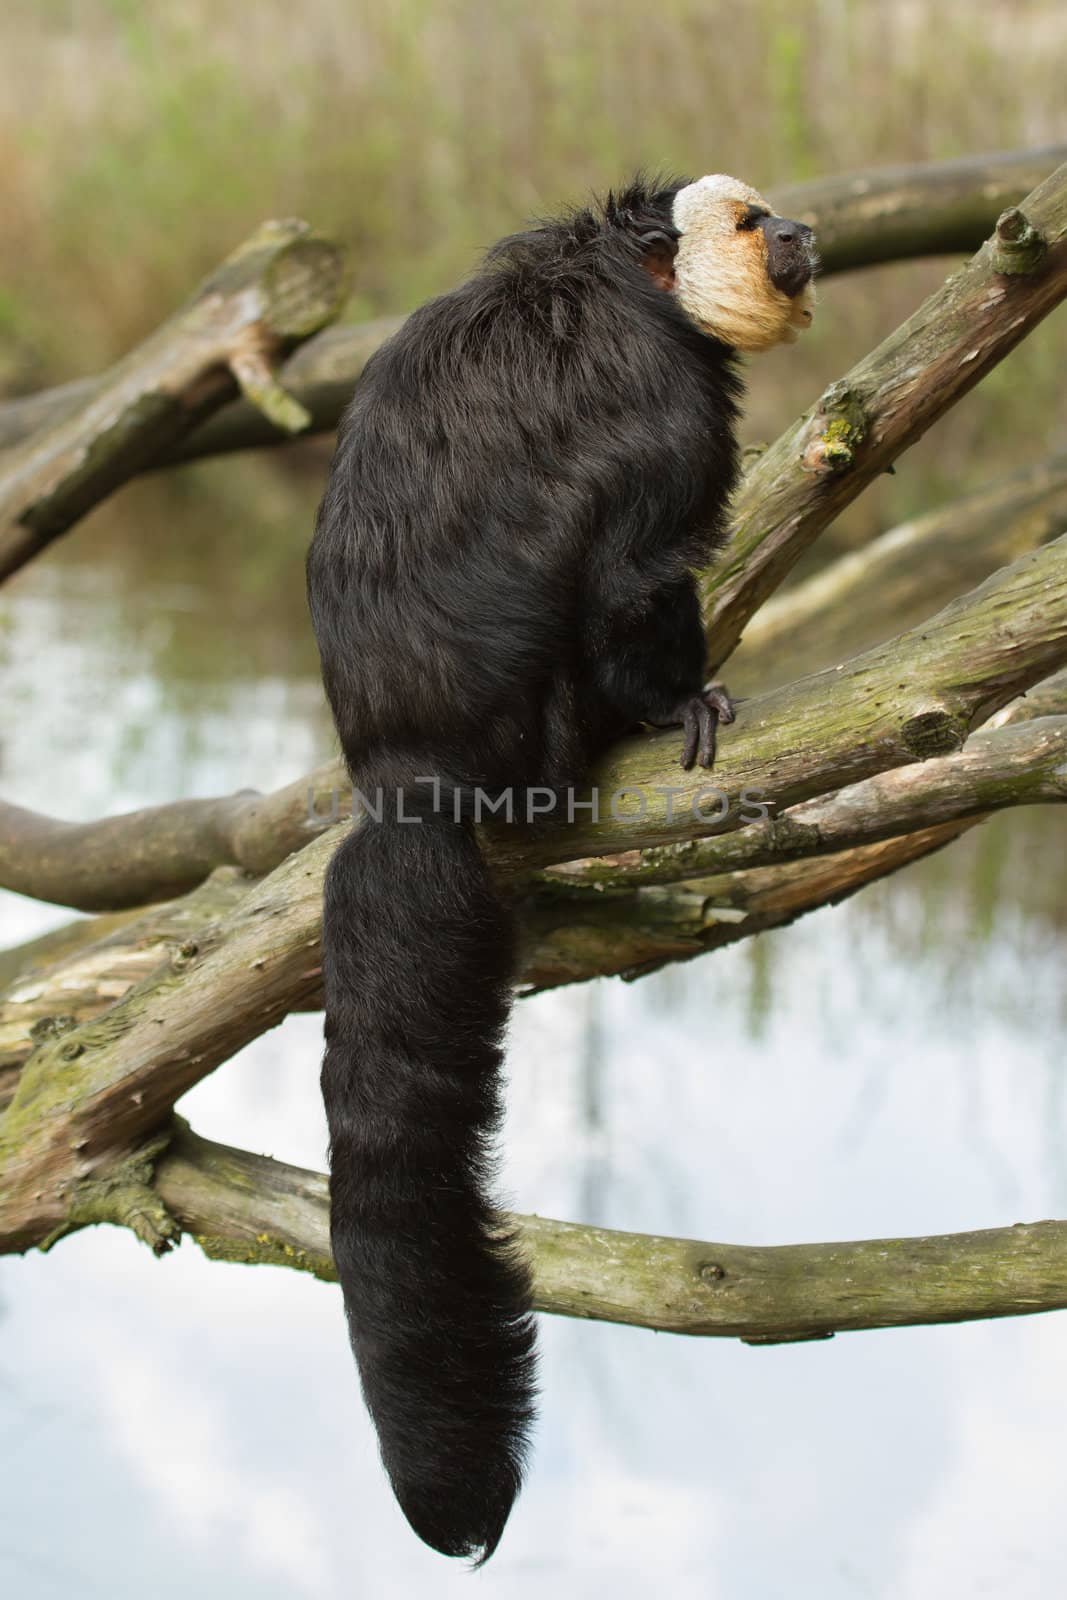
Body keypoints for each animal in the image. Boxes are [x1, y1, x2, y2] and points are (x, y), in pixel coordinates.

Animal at [303, 175, 825, 1561]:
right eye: (750, 224)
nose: (801, 237)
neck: (619, 273)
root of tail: (409, 775)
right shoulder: (660, 392)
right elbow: (633, 566)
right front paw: (678, 694)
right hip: (545, 722)